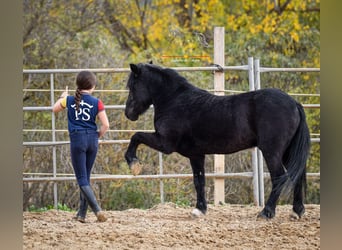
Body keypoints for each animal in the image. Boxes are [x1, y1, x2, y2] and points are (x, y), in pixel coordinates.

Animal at [123, 62, 310, 219]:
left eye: (132, 86)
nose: (128, 113)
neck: (175, 100)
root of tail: (294, 103)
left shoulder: (165, 143)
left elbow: (136, 136)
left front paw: (134, 164)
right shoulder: (196, 155)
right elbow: (199, 181)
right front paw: (200, 210)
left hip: (272, 151)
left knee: (279, 177)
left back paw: (266, 212)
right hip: (287, 151)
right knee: (298, 175)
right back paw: (296, 211)